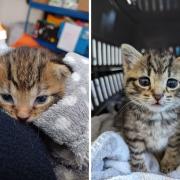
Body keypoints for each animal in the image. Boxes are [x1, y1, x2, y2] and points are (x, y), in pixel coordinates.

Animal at [118, 43, 180, 173]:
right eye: (144, 81)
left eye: (172, 83)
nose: (158, 96)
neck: (157, 117)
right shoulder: (131, 131)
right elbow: (137, 152)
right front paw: (140, 171)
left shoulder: (176, 132)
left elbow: (173, 146)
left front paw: (169, 163)